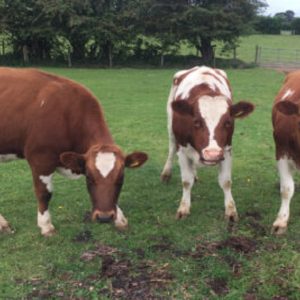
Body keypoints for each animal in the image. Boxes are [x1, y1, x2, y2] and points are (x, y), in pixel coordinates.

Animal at [0, 68, 148, 237]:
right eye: (89, 177)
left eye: (121, 177)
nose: (104, 217)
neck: (68, 114)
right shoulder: (40, 158)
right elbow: (44, 193)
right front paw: (46, 226)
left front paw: (120, 219)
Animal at [161, 65, 254, 220]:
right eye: (196, 122)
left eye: (228, 122)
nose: (212, 154)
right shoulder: (182, 148)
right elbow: (186, 181)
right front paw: (183, 208)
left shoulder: (226, 149)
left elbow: (226, 181)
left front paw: (231, 210)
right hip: (170, 124)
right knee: (171, 148)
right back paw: (166, 173)